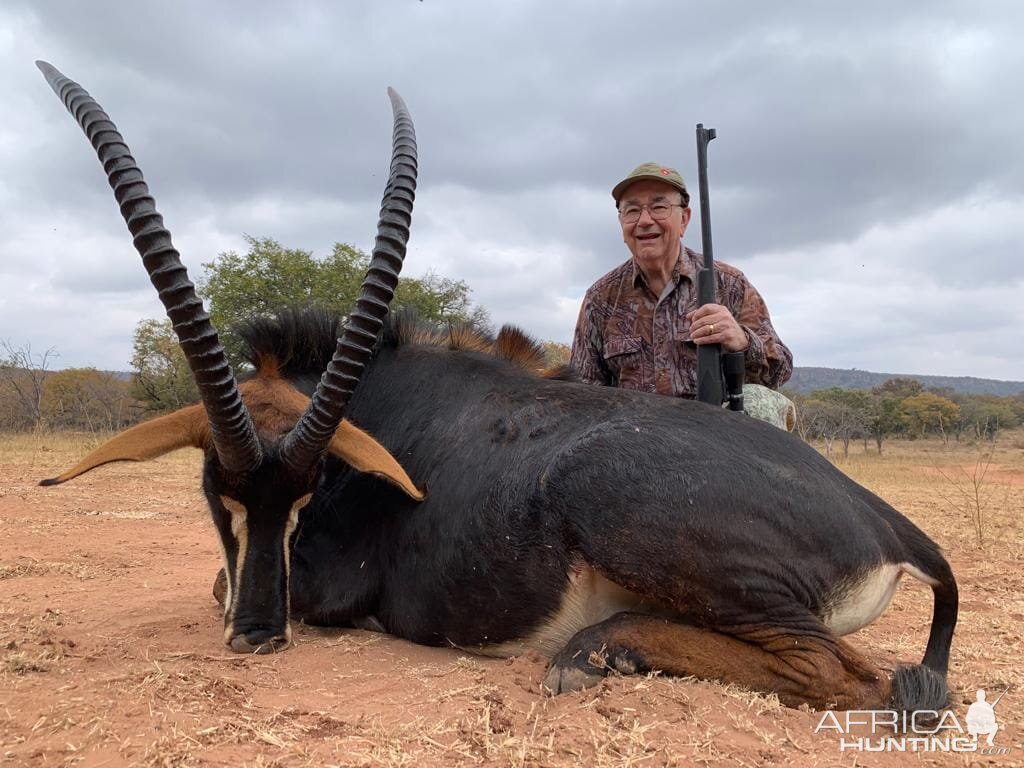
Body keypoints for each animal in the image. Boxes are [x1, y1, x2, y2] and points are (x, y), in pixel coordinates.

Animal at [37, 61, 950, 716]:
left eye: (307, 491)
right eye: (211, 486)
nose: (260, 635)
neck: (375, 403)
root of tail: (884, 518)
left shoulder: (333, 588)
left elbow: (220, 582)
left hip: (626, 505)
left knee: (847, 675)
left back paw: (592, 653)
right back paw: (607, 648)